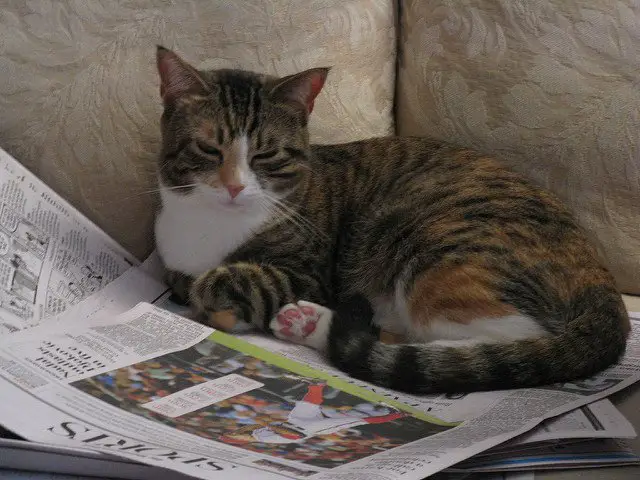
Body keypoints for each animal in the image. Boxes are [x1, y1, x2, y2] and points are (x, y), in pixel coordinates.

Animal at [152, 47, 628, 394]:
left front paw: (214, 295)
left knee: (496, 337)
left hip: (433, 242)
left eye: (266, 154)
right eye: (209, 149)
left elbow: (233, 281)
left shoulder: (311, 274)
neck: (208, 225)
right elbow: (181, 277)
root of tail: (596, 272)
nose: (234, 186)